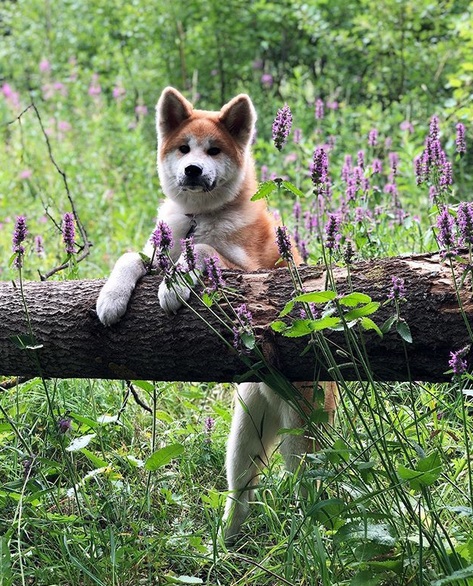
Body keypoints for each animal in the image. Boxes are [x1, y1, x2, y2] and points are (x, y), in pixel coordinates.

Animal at [96, 86, 336, 540]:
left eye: (213, 150)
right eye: (184, 148)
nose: (192, 169)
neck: (197, 218)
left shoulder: (248, 270)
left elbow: (205, 251)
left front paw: (174, 285)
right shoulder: (156, 249)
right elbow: (130, 257)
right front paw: (111, 297)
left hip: (301, 439)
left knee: (311, 494)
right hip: (244, 435)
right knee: (242, 491)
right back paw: (225, 543)